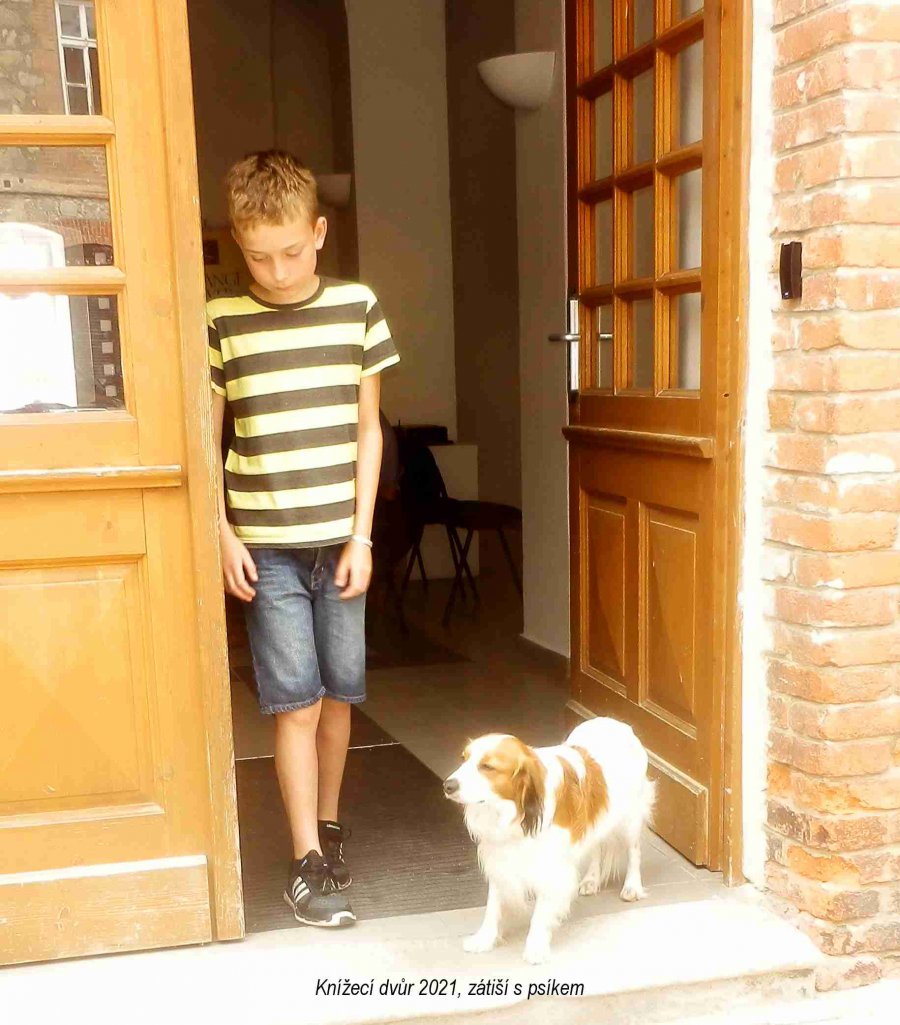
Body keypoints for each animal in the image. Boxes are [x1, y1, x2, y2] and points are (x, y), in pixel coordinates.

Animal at [443, 716, 655, 964]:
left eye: (487, 767)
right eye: (464, 759)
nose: (447, 785)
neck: (516, 811)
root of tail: (616, 722)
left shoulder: (551, 867)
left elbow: (540, 913)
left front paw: (535, 947)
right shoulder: (500, 857)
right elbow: (493, 906)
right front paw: (484, 939)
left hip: (630, 819)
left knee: (634, 852)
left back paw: (632, 886)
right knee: (596, 848)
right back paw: (591, 880)